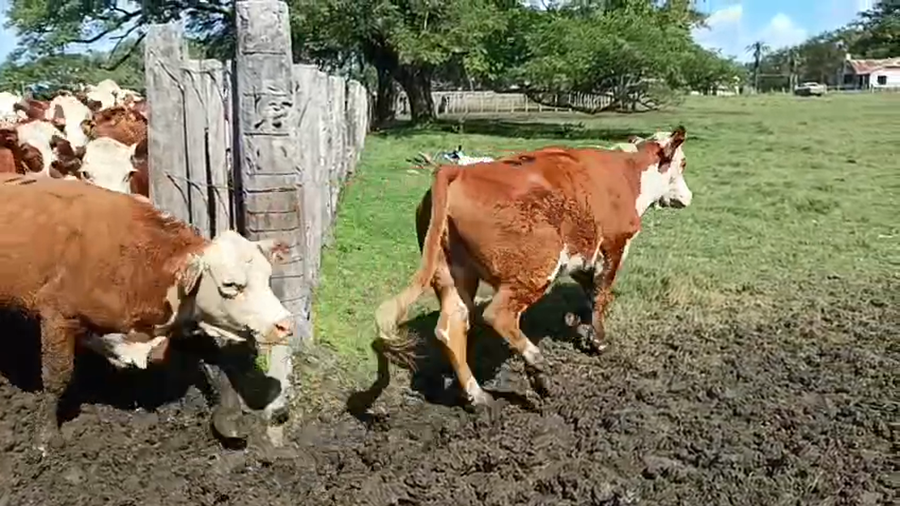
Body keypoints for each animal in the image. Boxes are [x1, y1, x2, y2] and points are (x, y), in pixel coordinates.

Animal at [0, 174, 295, 452]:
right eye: (231, 285)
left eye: (268, 277)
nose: (284, 324)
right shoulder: (58, 315)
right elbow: (56, 377)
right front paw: (45, 437)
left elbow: (213, 359)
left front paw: (229, 419)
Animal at [370, 127, 690, 408]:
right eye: (683, 162)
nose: (688, 197)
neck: (629, 173)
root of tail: (459, 172)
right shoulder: (614, 245)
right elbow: (601, 295)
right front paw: (598, 341)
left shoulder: (581, 256)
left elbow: (589, 292)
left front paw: (580, 326)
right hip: (536, 267)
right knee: (497, 314)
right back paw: (537, 369)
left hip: (452, 274)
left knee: (452, 327)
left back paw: (479, 397)